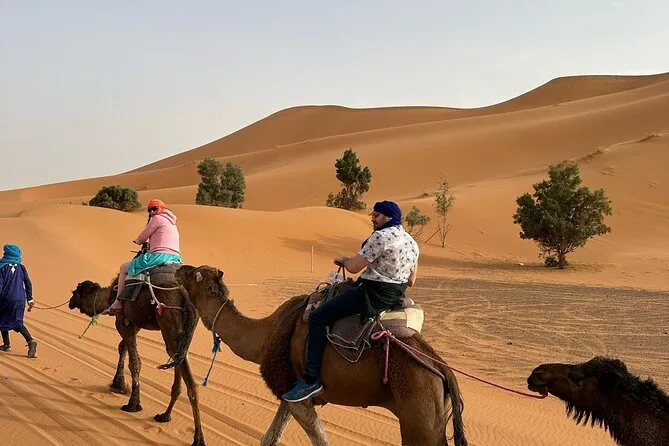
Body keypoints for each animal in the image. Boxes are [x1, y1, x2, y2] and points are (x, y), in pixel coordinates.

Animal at [68, 273, 206, 446]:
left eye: (75, 292)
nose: (70, 302)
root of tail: (185, 297)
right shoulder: (134, 322)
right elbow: (122, 347)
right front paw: (118, 384)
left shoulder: (122, 319)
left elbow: (135, 361)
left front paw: (133, 403)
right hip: (184, 333)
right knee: (179, 362)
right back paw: (165, 416)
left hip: (169, 323)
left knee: (188, 378)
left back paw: (198, 439)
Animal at [175, 265, 468, 446]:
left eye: (194, 273)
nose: (178, 268)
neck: (266, 335)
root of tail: (443, 370)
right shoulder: (290, 390)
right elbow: (270, 438)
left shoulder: (296, 392)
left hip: (419, 411)